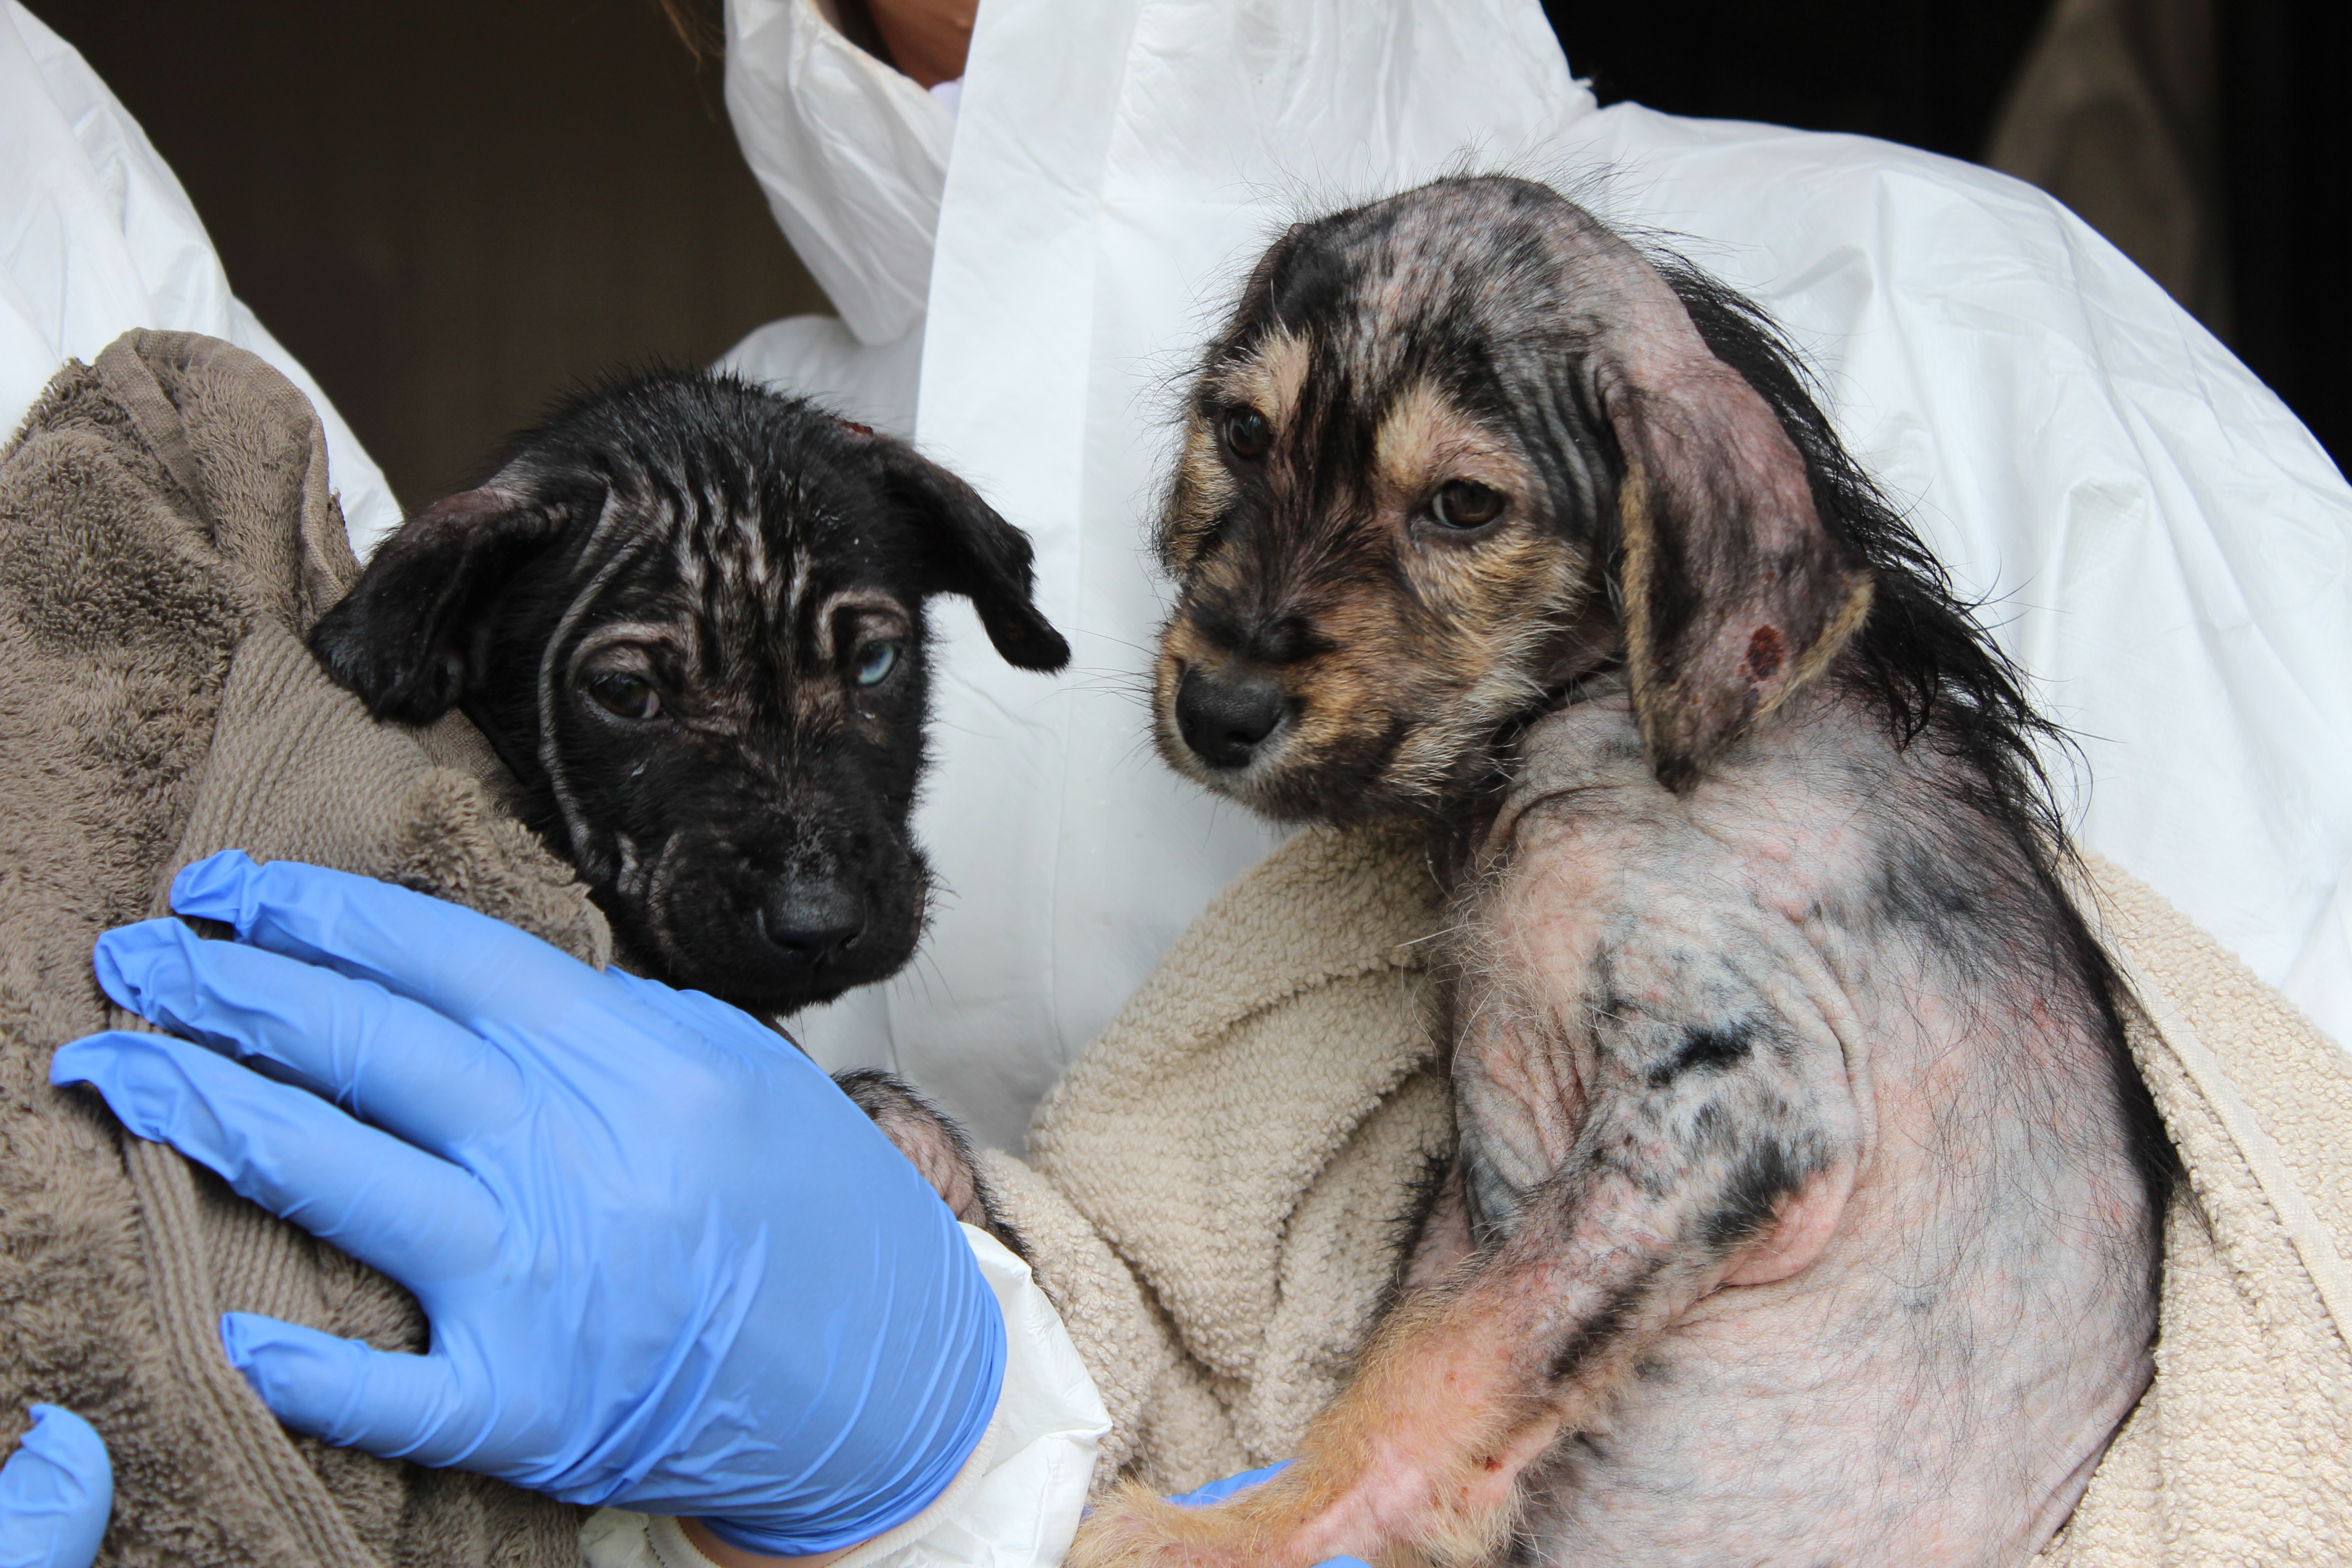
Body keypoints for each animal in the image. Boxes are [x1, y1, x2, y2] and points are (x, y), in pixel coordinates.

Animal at [1077, 181, 2173, 1568]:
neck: (1588, 706)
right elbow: (1441, 1313)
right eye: (1241, 431)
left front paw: (1216, 1531)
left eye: (1464, 506)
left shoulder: (1743, 1089)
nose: (1218, 708)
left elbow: (1440, 1358)